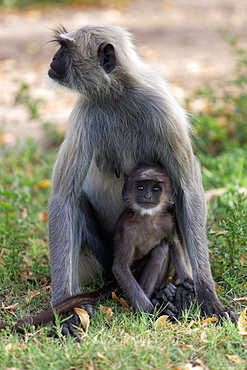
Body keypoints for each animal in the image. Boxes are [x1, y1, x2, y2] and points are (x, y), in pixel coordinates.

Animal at [112, 165, 195, 312]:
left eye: (156, 189)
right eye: (140, 187)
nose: (147, 196)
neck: (148, 218)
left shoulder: (168, 221)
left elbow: (173, 243)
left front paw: (186, 280)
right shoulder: (127, 229)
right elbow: (120, 267)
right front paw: (149, 310)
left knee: (162, 248)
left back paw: (162, 291)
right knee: (158, 252)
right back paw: (154, 298)